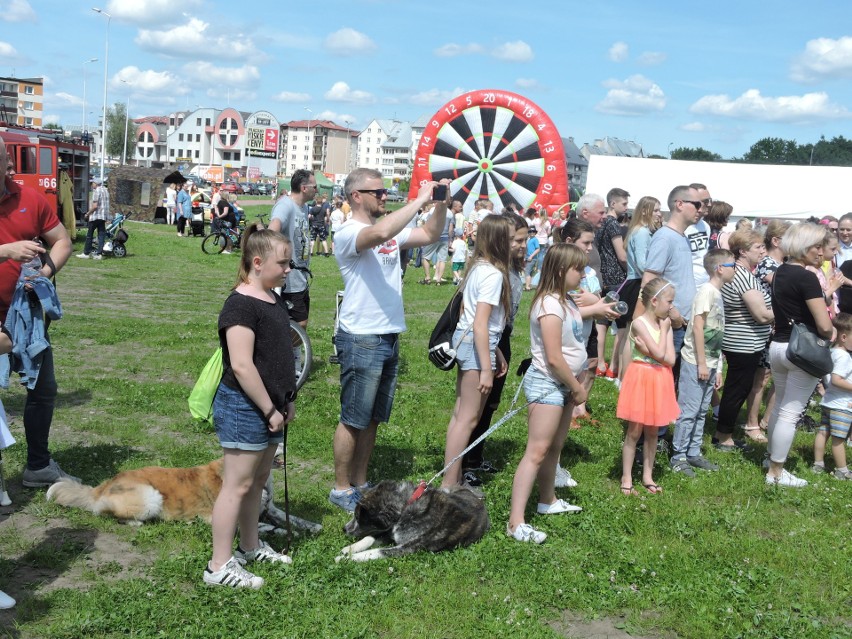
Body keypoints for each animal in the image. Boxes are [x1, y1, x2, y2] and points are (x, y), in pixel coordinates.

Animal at [45, 456, 322, 536]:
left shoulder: (272, 508)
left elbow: (292, 518)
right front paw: (277, 531)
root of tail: (102, 485)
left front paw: (312, 526)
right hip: (151, 497)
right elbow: (261, 526)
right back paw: (136, 523)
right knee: (106, 513)